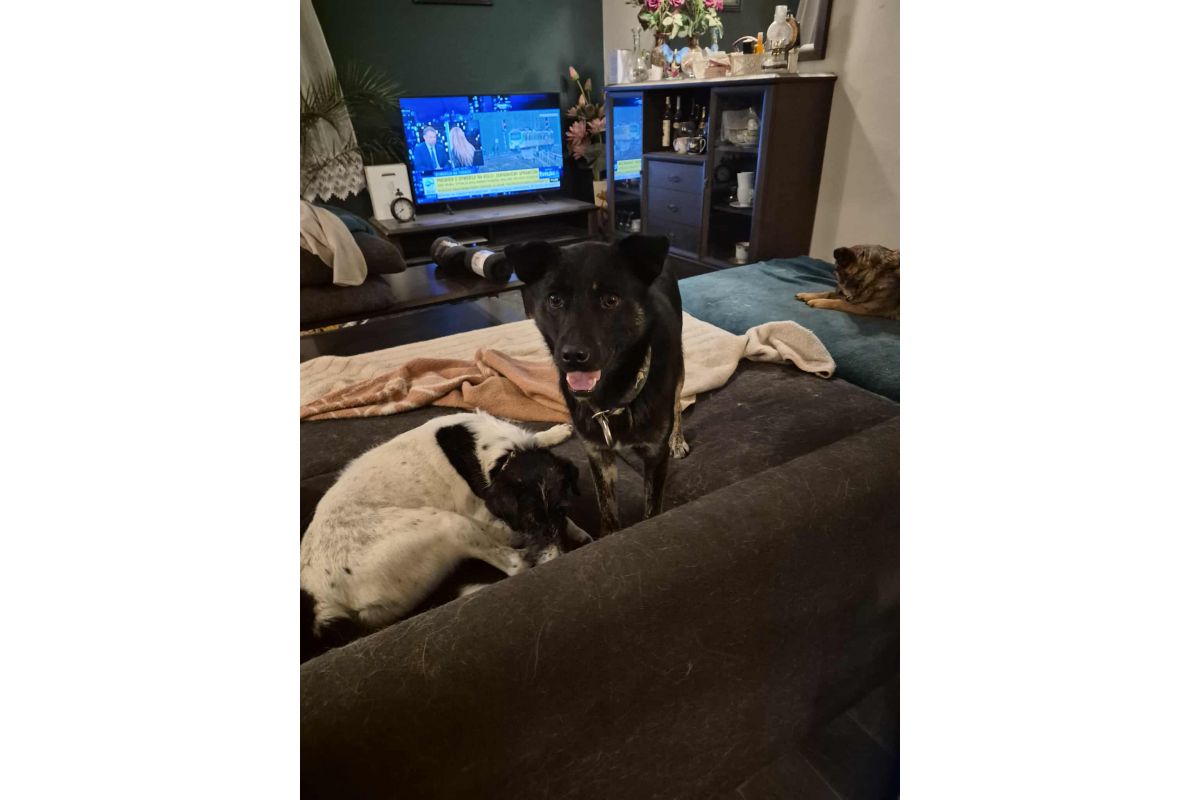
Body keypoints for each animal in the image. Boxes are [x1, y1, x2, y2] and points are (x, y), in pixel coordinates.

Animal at [300, 411, 587, 661]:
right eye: (529, 520)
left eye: (562, 509)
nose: (561, 558)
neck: (500, 453)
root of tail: (320, 602)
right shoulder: (485, 517)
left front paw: (554, 432)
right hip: (448, 523)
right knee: (515, 564)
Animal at [506, 234, 687, 538]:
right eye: (555, 300)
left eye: (610, 300)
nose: (572, 356)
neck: (614, 396)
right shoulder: (598, 454)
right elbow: (608, 510)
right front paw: (610, 535)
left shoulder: (655, 457)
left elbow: (652, 511)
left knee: (678, 402)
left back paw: (678, 438)